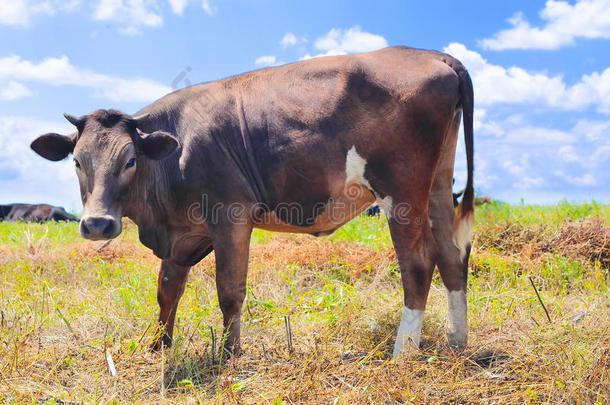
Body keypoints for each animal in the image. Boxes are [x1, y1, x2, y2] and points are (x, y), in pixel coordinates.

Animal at [30, 46, 472, 356]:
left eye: (130, 160)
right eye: (77, 161)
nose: (97, 224)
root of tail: (432, 54)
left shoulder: (230, 217)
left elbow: (229, 291)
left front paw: (229, 353)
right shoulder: (181, 234)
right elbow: (167, 289)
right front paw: (157, 344)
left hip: (402, 191)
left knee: (418, 263)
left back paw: (403, 353)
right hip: (438, 184)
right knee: (452, 256)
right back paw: (457, 341)